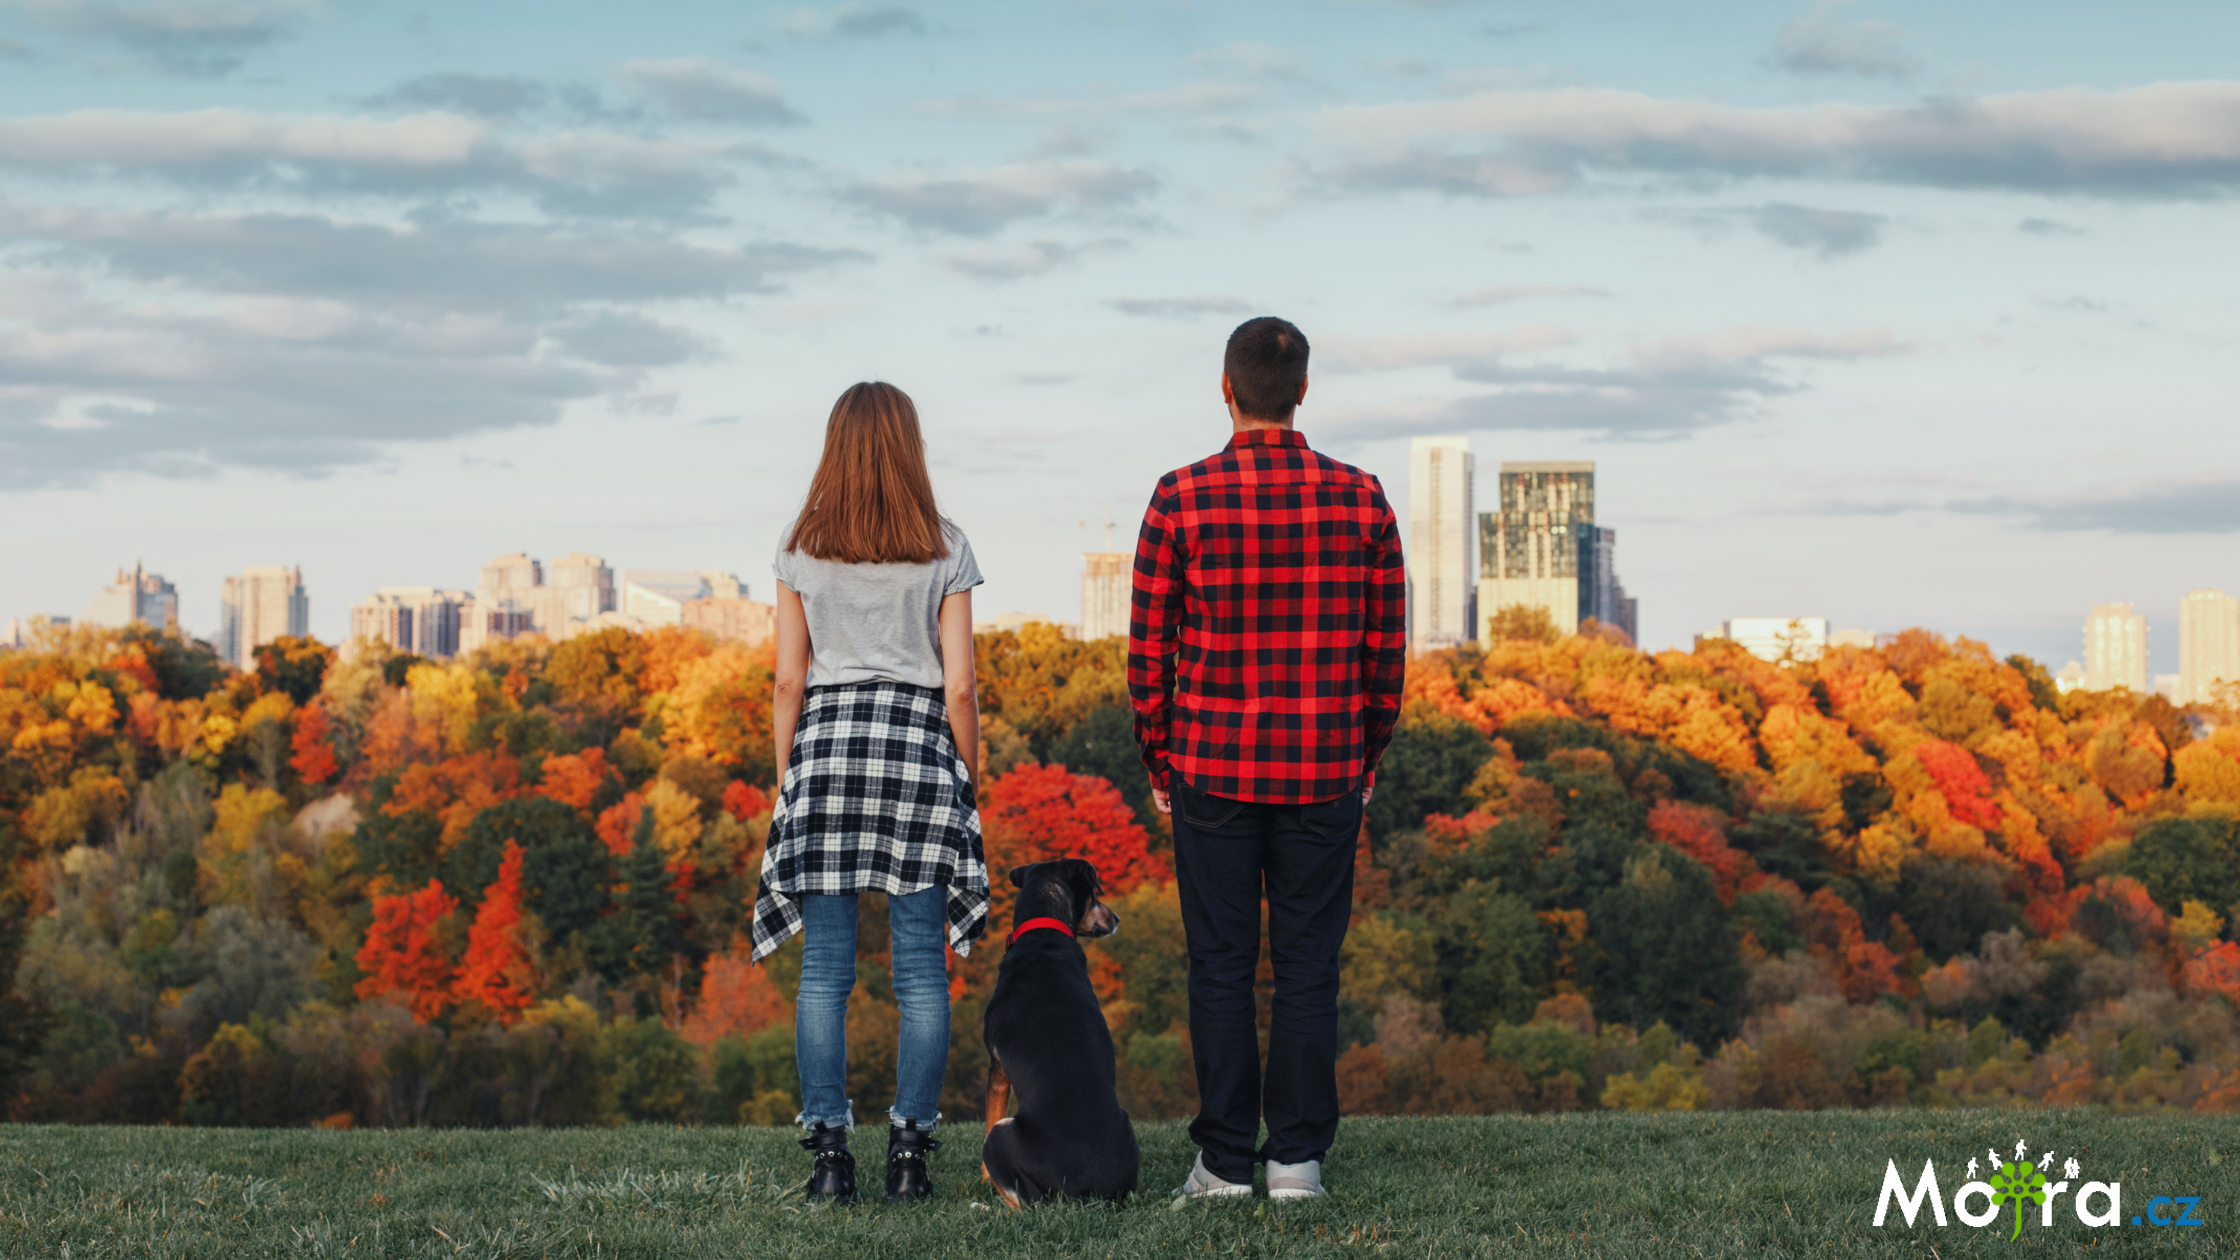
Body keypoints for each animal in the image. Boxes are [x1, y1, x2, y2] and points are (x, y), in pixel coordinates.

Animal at [985, 856, 1146, 1201]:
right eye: (1094, 895)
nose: (1116, 918)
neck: (1044, 929)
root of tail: (1083, 1193)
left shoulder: (997, 1067)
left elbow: (989, 1119)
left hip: (1001, 1137)